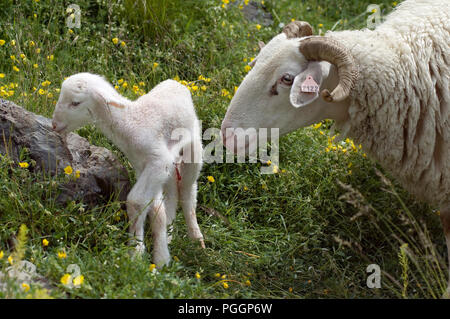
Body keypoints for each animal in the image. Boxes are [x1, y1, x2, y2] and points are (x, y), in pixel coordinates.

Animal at [52, 73, 206, 268]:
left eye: (75, 103)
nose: (54, 125)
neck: (130, 122)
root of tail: (176, 82)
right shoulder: (145, 166)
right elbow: (156, 211)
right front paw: (159, 254)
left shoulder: (158, 160)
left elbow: (136, 201)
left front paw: (137, 253)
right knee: (173, 191)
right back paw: (170, 234)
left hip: (193, 149)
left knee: (187, 192)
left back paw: (197, 239)